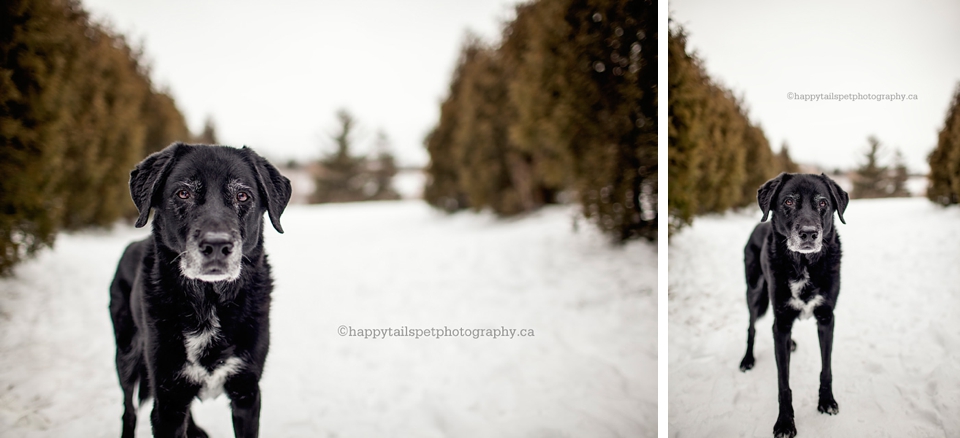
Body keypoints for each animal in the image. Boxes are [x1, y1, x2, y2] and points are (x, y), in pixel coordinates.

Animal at [108, 142, 288, 436]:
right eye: (183, 193)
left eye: (242, 196)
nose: (217, 245)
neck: (209, 302)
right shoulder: (168, 400)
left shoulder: (247, 393)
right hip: (126, 355)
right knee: (129, 411)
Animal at [740, 173, 852, 438]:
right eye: (788, 201)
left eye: (823, 203)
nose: (809, 233)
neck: (804, 264)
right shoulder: (781, 321)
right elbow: (783, 383)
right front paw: (785, 422)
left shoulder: (826, 318)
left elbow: (826, 369)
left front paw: (827, 402)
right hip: (755, 293)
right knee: (751, 327)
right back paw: (747, 359)